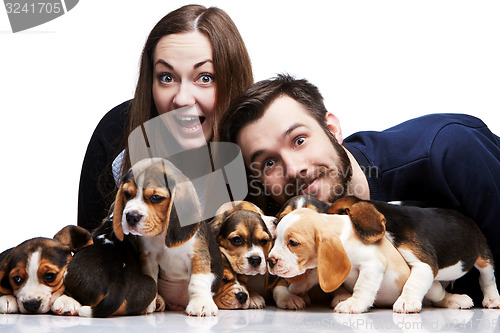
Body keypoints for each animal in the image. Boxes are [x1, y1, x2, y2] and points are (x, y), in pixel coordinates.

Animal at [114, 157, 224, 316]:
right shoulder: (148, 258)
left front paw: (201, 304)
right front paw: (148, 303)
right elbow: (151, 280)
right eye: (127, 194)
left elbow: (197, 281)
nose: (131, 216)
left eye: (156, 197)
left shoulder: (197, 255)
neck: (162, 236)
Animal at [266, 206, 410, 312]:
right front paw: (297, 288)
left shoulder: (372, 264)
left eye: (293, 243)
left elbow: (362, 287)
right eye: (275, 239)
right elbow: (314, 275)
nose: (270, 261)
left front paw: (354, 303)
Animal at [328, 195, 500, 312]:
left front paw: (407, 302)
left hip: (482, 254)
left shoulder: (424, 264)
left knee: (487, 277)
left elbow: (413, 283)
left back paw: (492, 298)